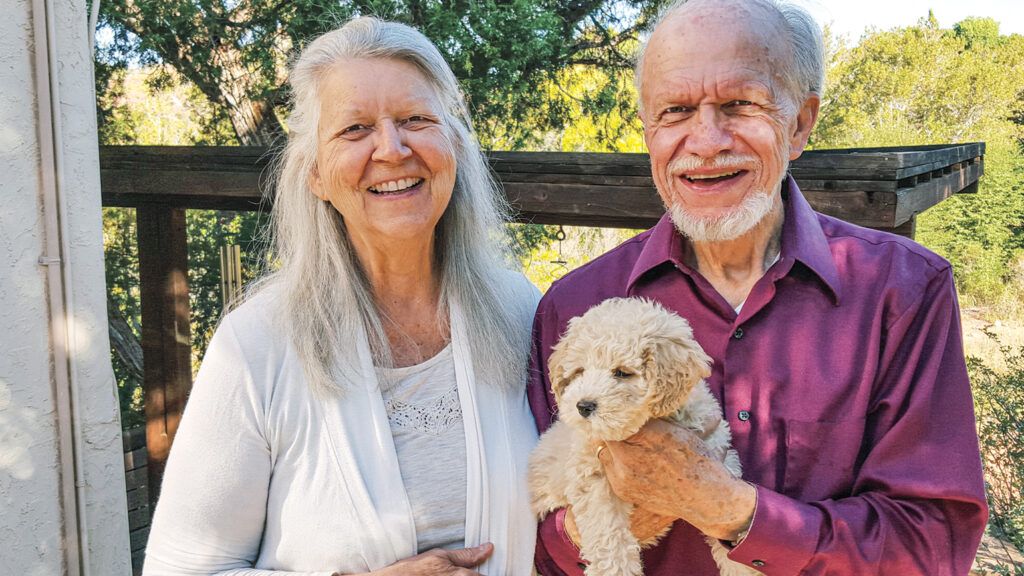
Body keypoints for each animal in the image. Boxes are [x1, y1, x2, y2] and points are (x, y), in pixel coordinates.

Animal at [528, 295, 761, 573]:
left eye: (621, 372)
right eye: (579, 372)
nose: (583, 406)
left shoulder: (717, 454)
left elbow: (723, 516)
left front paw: (741, 567)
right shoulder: (593, 481)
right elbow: (609, 537)